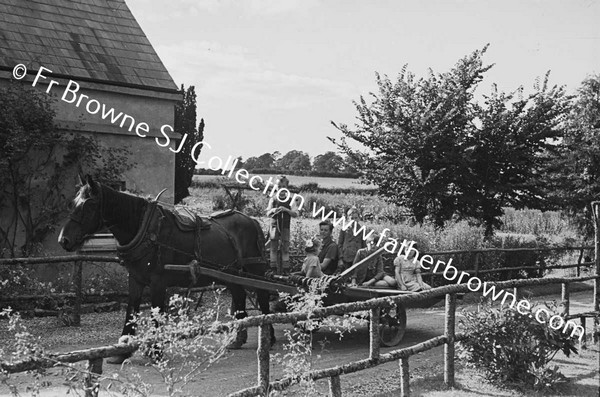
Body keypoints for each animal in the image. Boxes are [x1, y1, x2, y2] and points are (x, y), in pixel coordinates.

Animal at [58, 175, 274, 364]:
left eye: (88, 205)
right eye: (72, 203)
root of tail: (252, 220)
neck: (145, 229)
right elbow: (131, 311)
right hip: (231, 274)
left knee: (263, 296)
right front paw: (123, 350)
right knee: (239, 296)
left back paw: (267, 333)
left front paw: (155, 350)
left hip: (254, 270)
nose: (63, 240)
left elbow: (156, 314)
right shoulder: (135, 279)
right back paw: (238, 337)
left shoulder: (158, 282)